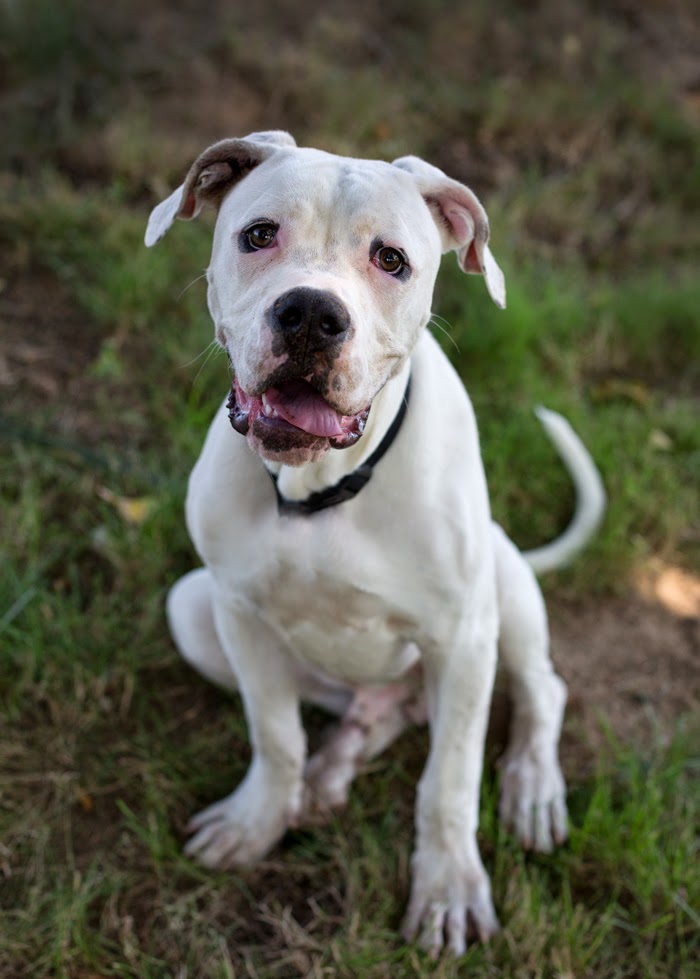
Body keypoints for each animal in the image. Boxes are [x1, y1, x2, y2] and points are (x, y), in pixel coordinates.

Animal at [145, 132, 604, 956]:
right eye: (258, 234)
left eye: (391, 259)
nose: (309, 314)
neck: (319, 487)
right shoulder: (239, 613)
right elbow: (276, 735)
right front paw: (257, 820)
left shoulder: (463, 637)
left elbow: (448, 781)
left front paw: (448, 887)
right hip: (193, 612)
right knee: (366, 716)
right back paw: (328, 772)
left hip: (502, 585)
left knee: (540, 689)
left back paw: (531, 786)